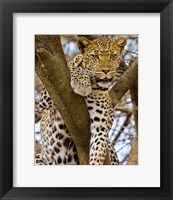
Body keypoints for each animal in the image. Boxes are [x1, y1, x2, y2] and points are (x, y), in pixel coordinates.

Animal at [35, 36, 127, 166]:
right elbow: (75, 68)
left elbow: (97, 153)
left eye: (113, 56)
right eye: (95, 56)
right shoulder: (48, 93)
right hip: (39, 157)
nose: (105, 70)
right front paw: (82, 82)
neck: (95, 87)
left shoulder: (101, 128)